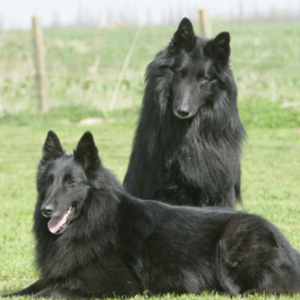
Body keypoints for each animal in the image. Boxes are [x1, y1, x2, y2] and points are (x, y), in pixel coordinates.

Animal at [3, 131, 300, 298]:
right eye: (49, 181)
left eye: (70, 183)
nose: (46, 210)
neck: (95, 223)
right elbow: (25, 291)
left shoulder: (113, 286)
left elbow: (49, 292)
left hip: (234, 234)